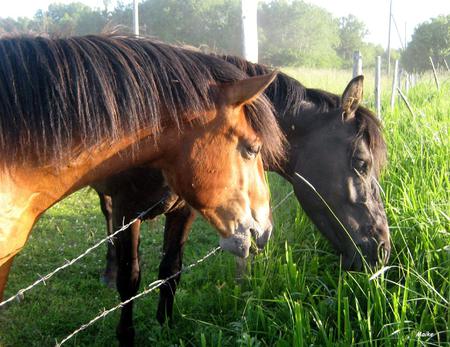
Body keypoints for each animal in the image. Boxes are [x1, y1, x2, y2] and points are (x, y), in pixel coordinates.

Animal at [93, 57, 388, 346]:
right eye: (361, 163)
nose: (382, 249)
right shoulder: (126, 212)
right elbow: (129, 280)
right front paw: (126, 335)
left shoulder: (184, 211)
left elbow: (171, 270)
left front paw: (164, 326)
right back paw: (109, 271)